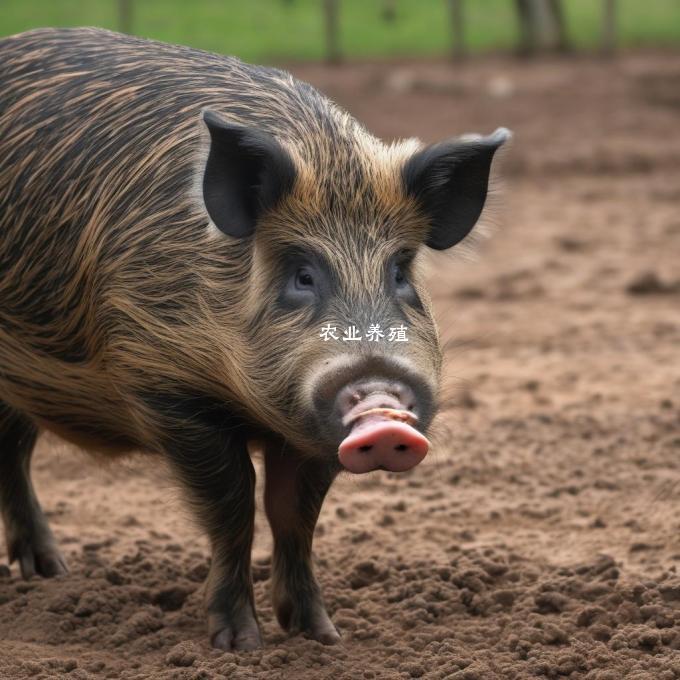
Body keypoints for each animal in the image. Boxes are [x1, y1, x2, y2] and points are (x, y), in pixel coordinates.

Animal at [0, 29, 508, 652]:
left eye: (401, 272)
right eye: (302, 275)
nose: (381, 402)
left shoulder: (310, 434)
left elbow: (293, 514)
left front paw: (324, 636)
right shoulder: (164, 388)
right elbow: (233, 508)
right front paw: (241, 645)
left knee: (9, 450)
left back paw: (49, 573)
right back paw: (49, 575)